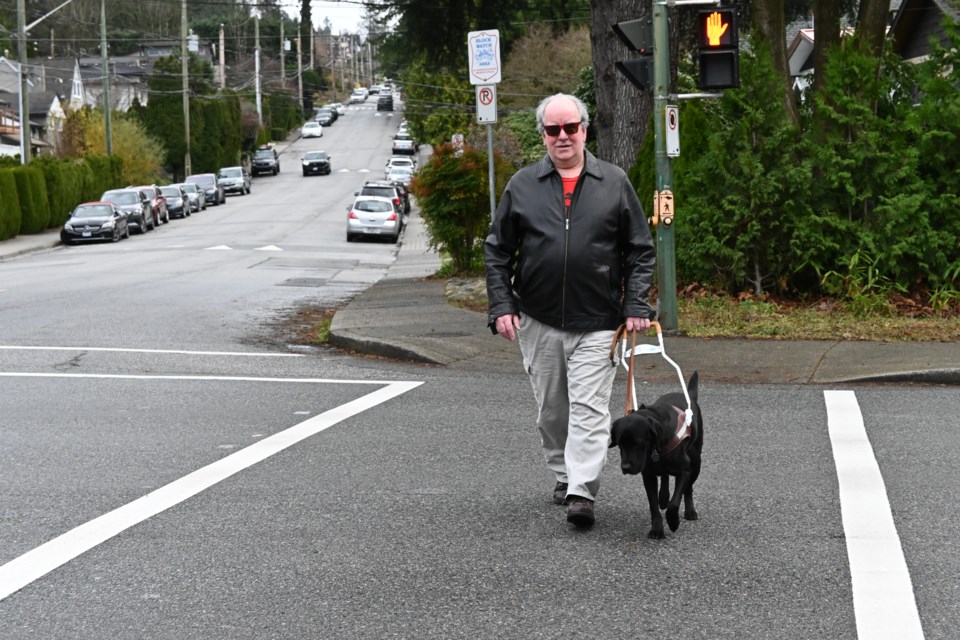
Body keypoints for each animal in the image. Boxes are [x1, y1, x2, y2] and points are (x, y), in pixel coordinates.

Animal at [612, 370, 700, 540]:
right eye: (620, 444)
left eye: (637, 444)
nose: (625, 467)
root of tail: (689, 395)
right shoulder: (648, 475)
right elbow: (653, 506)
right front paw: (657, 529)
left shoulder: (684, 470)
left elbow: (675, 502)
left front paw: (673, 522)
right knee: (665, 477)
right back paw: (663, 497)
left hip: (696, 462)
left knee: (688, 489)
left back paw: (690, 510)